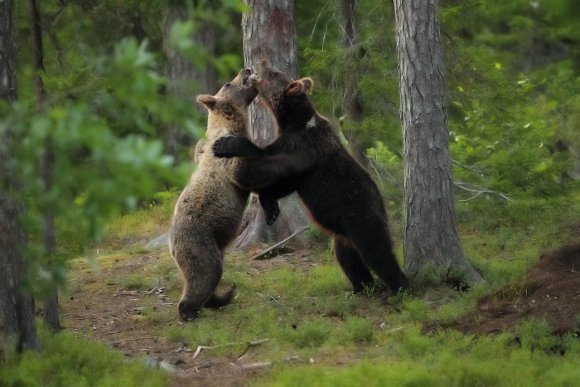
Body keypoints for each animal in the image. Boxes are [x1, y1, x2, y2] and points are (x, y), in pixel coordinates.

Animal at [169, 69, 280, 322]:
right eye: (228, 83)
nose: (245, 70)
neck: (234, 123)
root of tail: (170, 243)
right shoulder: (226, 153)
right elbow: (246, 175)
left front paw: (271, 209)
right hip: (199, 240)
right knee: (206, 272)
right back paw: (190, 311)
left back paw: (220, 298)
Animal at [213, 60, 408, 296]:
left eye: (274, 73)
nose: (262, 62)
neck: (294, 121)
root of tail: (382, 206)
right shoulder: (298, 161)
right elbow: (283, 183)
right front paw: (271, 209)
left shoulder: (302, 148)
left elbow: (269, 161)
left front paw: (225, 145)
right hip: (343, 234)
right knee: (347, 256)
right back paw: (360, 288)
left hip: (362, 214)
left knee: (377, 252)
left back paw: (399, 288)